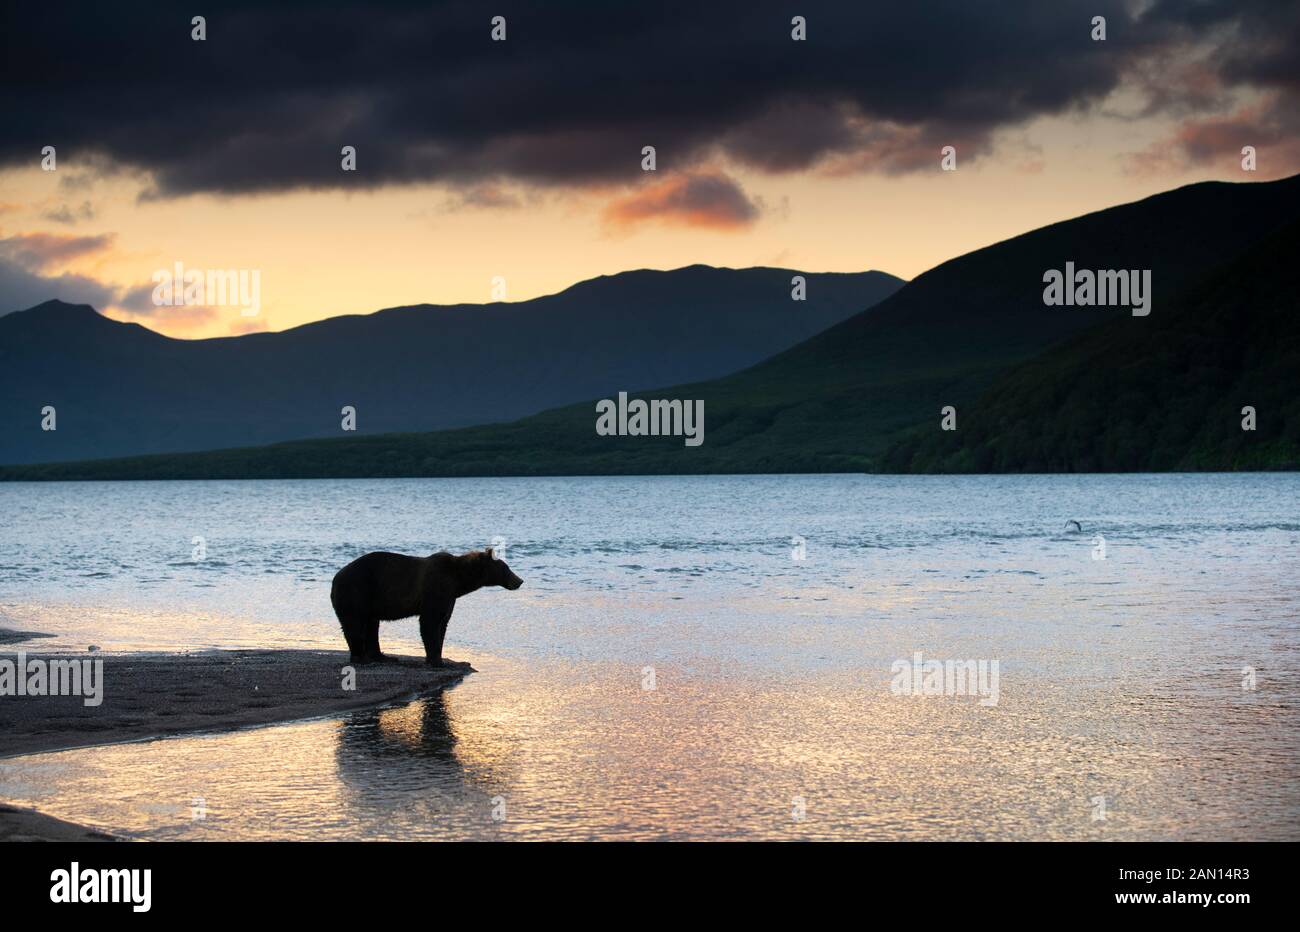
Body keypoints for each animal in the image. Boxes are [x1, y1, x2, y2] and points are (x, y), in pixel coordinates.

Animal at [330, 548, 522, 665]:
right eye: (506, 568)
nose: (519, 581)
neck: (458, 580)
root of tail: (335, 578)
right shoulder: (436, 588)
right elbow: (430, 622)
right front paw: (436, 660)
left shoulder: (449, 597)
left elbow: (443, 623)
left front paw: (438, 656)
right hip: (357, 591)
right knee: (355, 622)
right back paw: (361, 657)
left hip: (370, 599)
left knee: (371, 625)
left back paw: (382, 656)